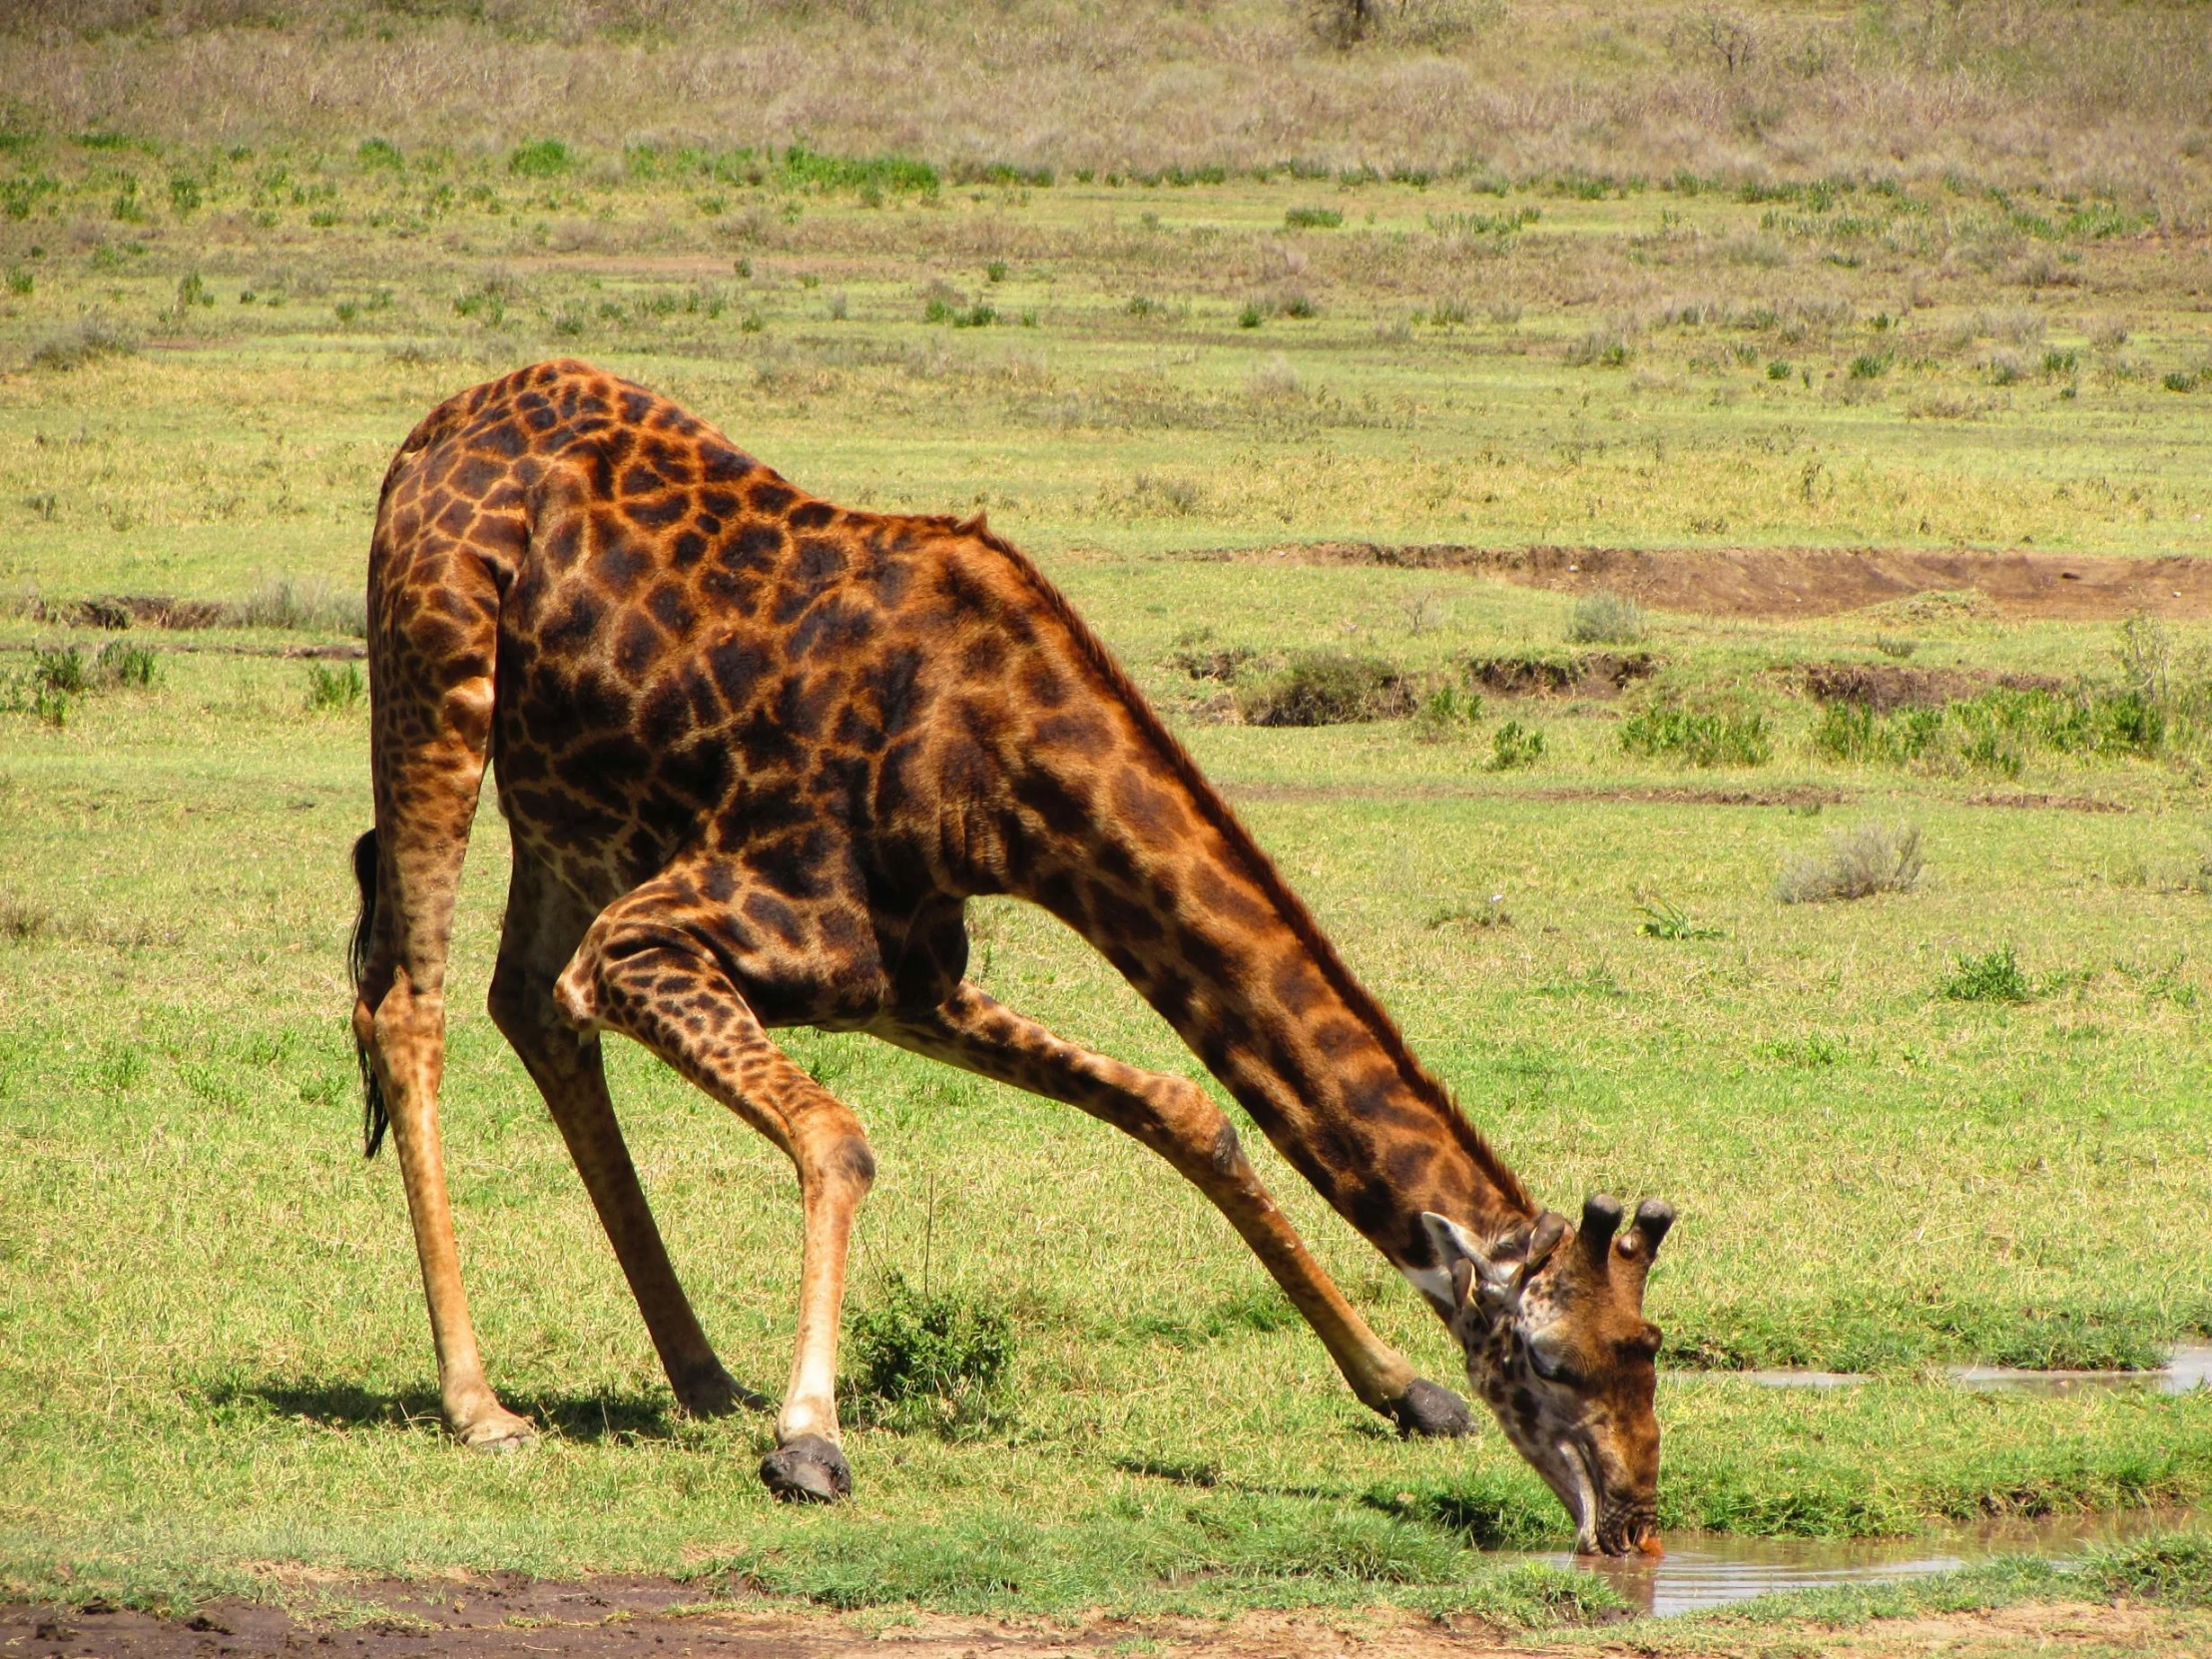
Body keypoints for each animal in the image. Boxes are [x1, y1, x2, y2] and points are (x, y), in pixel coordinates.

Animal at [349, 360, 1672, 1557]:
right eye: (1552, 1361)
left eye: (1650, 1348)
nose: (1631, 1523)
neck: (989, 766)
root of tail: (433, 429)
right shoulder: (651, 937)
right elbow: (838, 1136)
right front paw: (809, 1439)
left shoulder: (902, 977)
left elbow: (1182, 1108)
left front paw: (1404, 1389)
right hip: (437, 678)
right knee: (412, 1003)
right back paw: (483, 1409)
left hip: (565, 811)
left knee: (525, 1002)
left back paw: (702, 1376)